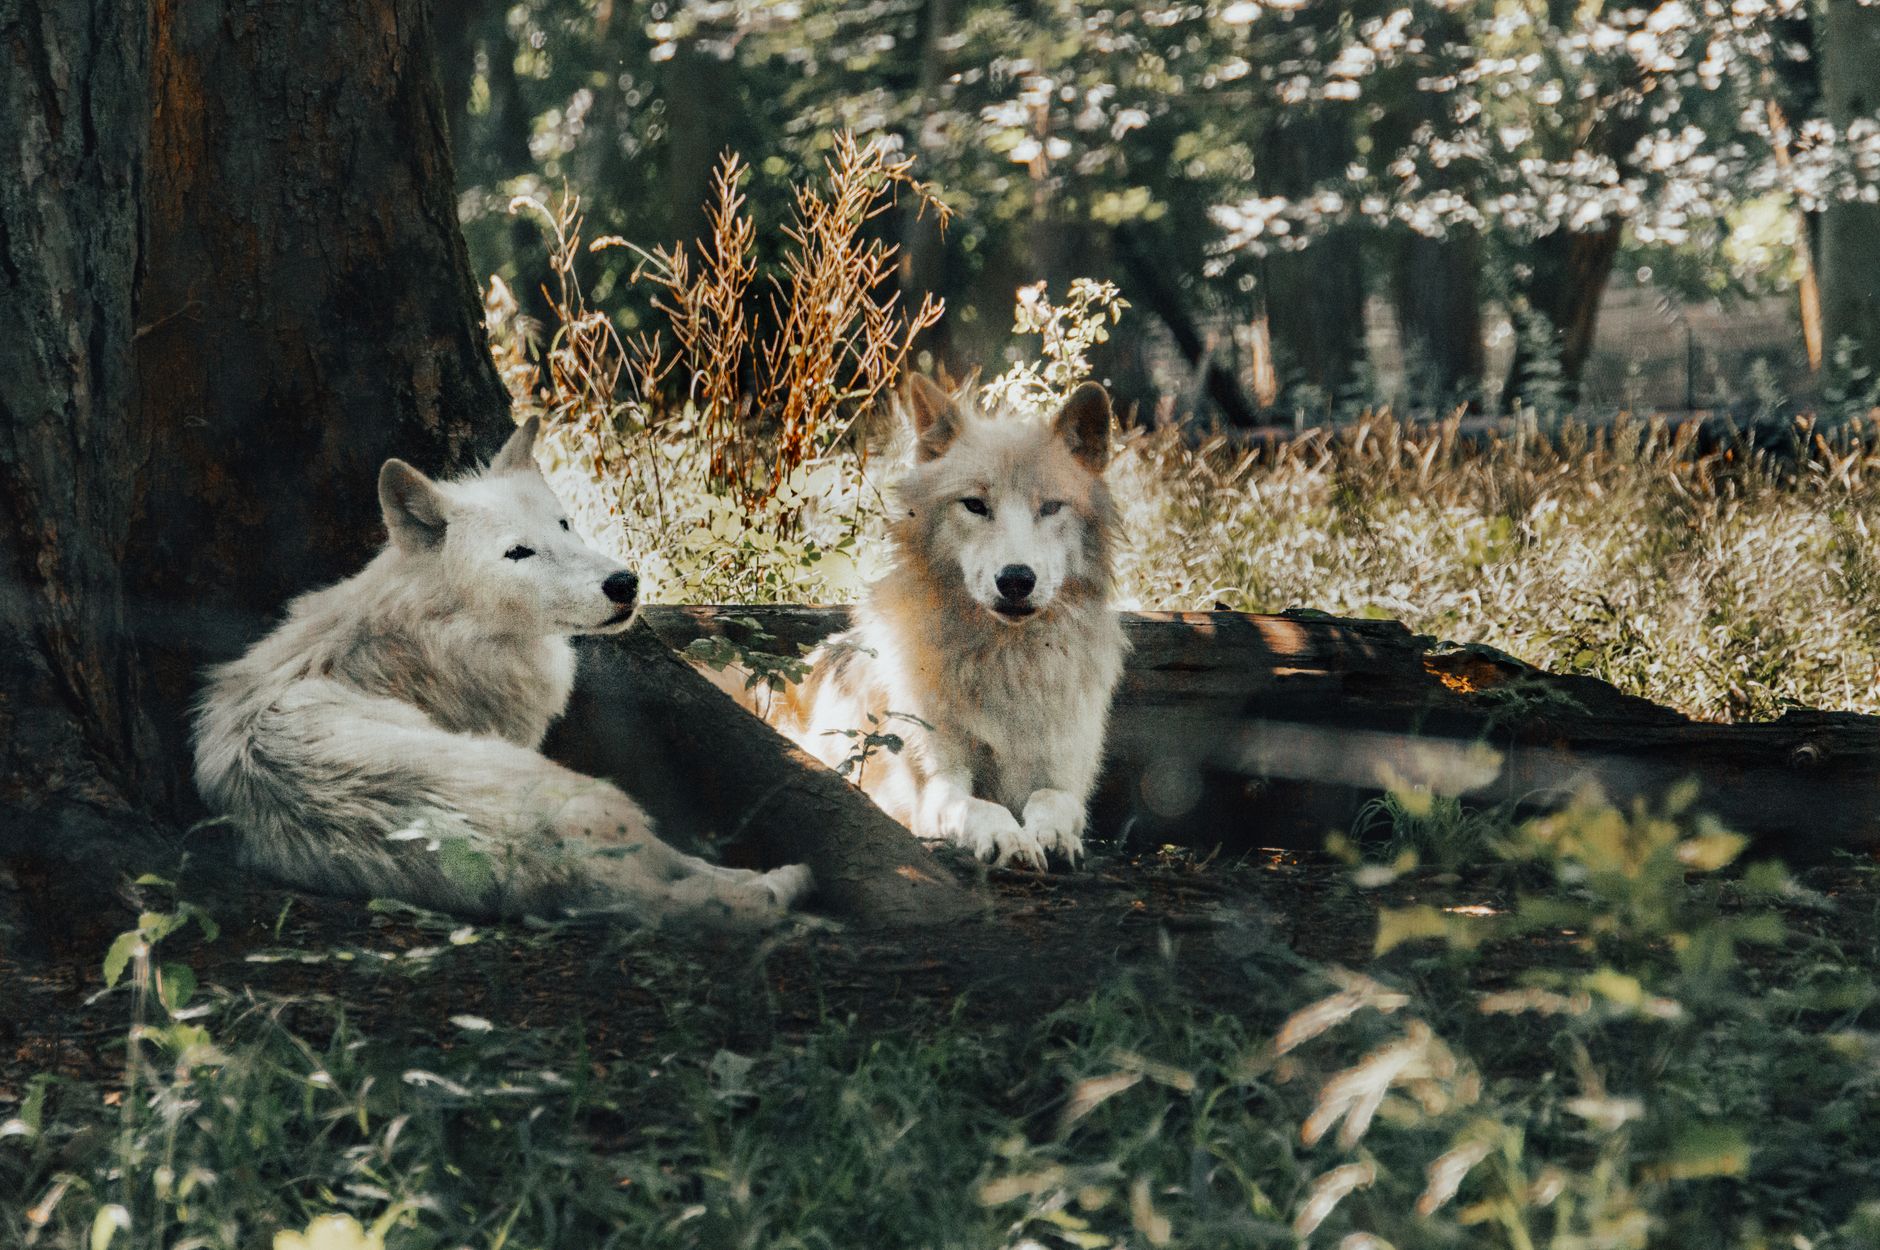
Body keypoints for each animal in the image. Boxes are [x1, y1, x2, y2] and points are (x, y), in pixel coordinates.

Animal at [192, 418, 812, 930]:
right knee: (693, 878)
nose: (625, 583)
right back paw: (784, 881)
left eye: (565, 525)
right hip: (595, 795)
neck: (429, 631)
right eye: (518, 553)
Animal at [765, 377, 1127, 869]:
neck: (1007, 662)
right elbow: (979, 806)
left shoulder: (1063, 774)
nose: (1016, 579)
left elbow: (1052, 800)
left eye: (1051, 507)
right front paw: (1010, 839)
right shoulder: (939, 783)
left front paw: (1052, 836)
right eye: (974, 505)